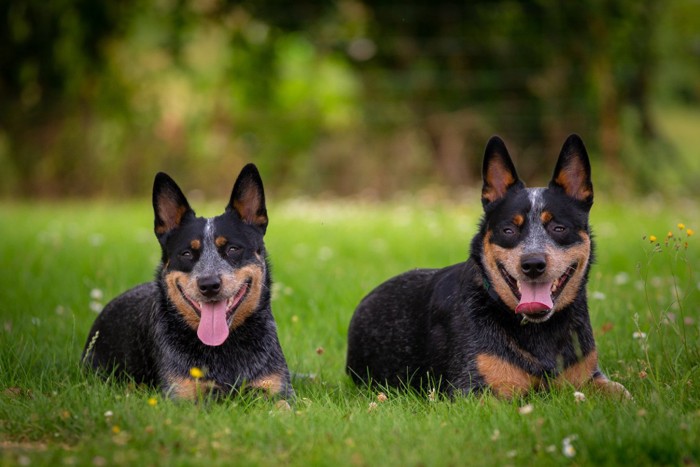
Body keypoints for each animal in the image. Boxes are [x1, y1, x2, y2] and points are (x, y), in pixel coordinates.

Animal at [83, 165, 294, 402]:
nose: (209, 284)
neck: (223, 349)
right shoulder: (181, 395)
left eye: (232, 249)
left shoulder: (278, 389)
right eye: (186, 253)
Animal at [344, 135, 628, 398]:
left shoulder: (591, 376)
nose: (532, 264)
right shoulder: (473, 391)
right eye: (508, 230)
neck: (538, 330)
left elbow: (623, 394)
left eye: (559, 228)